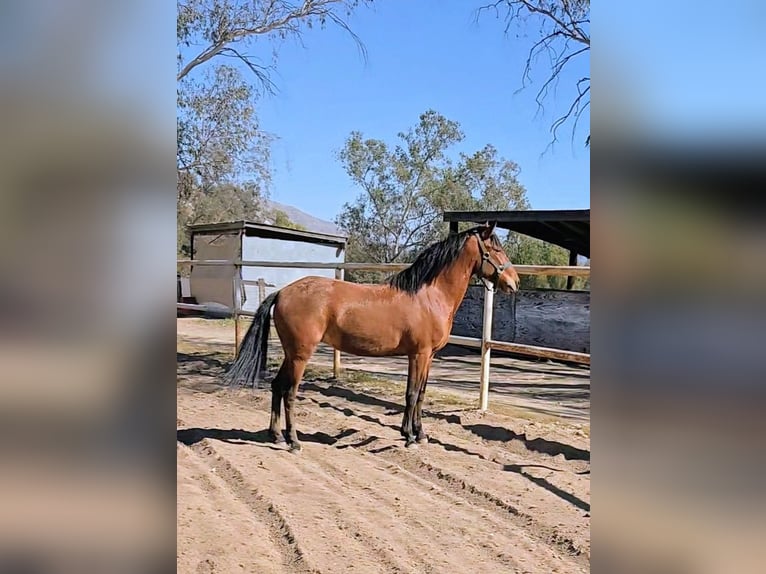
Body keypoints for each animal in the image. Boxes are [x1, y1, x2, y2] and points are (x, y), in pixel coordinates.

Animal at [224, 222, 519, 450]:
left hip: (291, 353)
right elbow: (412, 393)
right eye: (495, 249)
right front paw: (409, 437)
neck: (429, 296)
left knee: (276, 386)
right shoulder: (419, 354)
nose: (514, 282)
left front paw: (419, 434)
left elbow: (421, 393)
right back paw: (294, 441)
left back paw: (275, 436)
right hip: (300, 355)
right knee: (289, 392)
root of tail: (283, 292)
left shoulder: (428, 356)